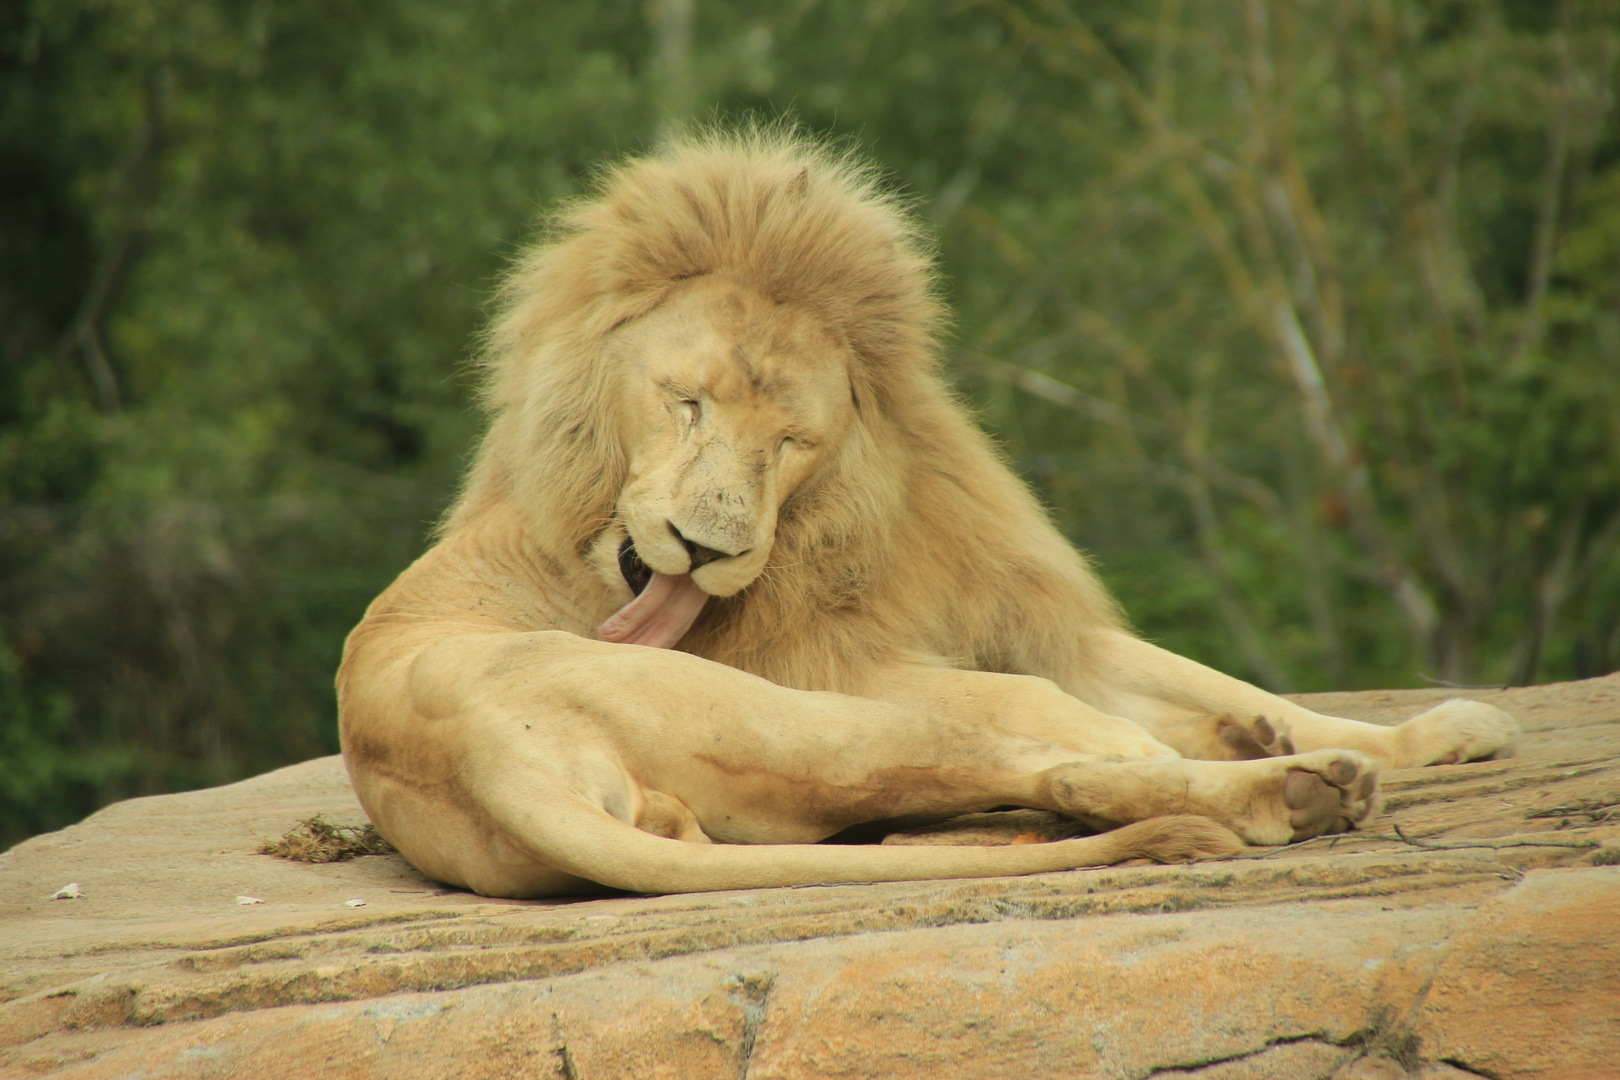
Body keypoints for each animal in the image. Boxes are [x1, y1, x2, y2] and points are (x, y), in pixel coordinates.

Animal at [335, 131, 1522, 900]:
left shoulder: (1017, 611)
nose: (708, 549)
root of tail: (489, 764)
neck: (845, 529)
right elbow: (1081, 706)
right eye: (686, 403)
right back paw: (1289, 790)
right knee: (1053, 760)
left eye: (791, 444)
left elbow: (1214, 678)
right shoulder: (846, 662)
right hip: (796, 719)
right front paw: (1275, 744)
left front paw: (1438, 729)